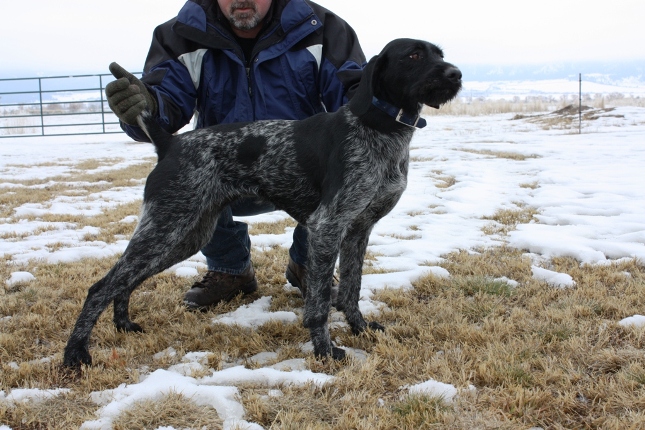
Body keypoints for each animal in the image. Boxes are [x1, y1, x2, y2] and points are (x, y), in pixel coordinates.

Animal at [63, 38, 460, 366]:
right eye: (414, 55)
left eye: (439, 53)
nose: (455, 73)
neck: (381, 129)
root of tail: (169, 143)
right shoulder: (327, 226)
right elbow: (319, 304)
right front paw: (325, 350)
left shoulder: (358, 230)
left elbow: (351, 289)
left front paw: (360, 329)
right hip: (168, 226)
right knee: (101, 287)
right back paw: (76, 354)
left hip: (184, 234)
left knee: (125, 281)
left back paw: (124, 325)